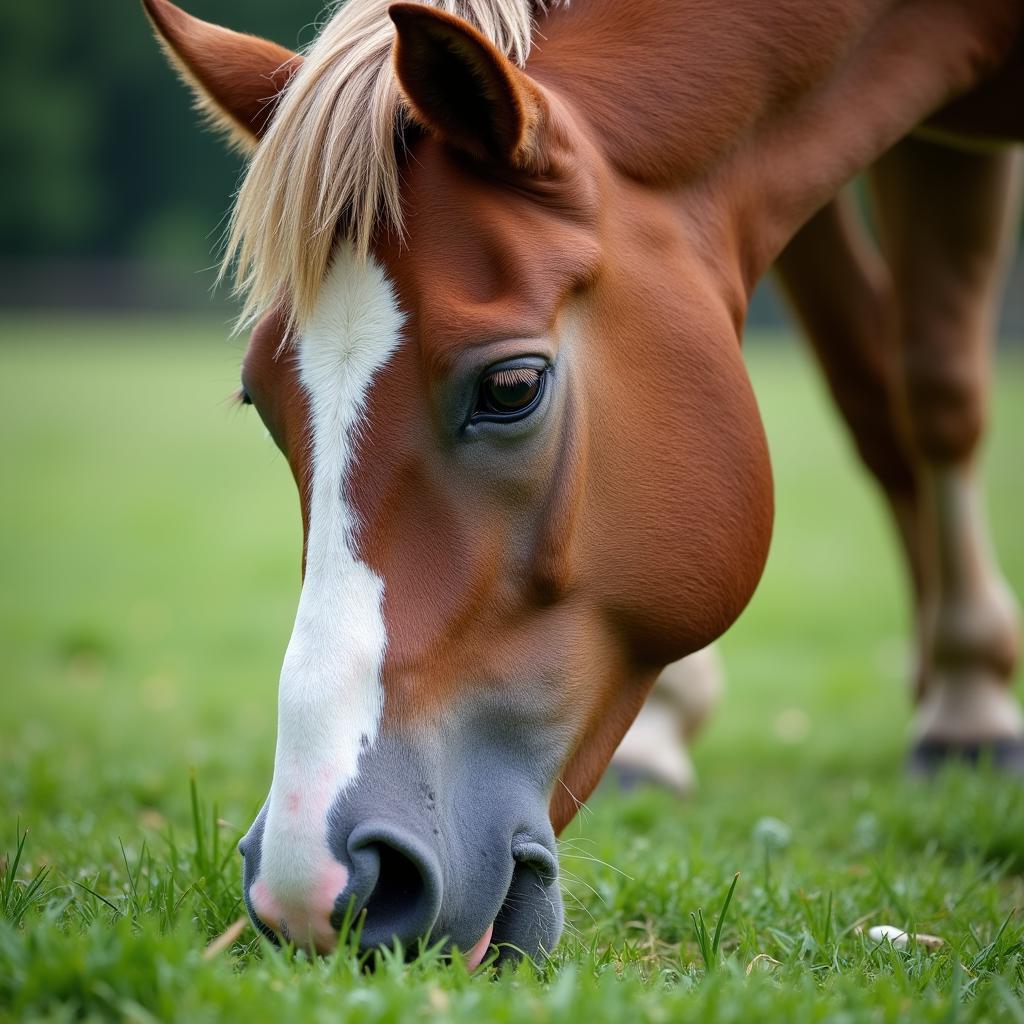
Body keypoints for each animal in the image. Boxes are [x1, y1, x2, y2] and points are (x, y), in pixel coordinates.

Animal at [144, 0, 1024, 962]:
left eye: (511, 387)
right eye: (261, 402)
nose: (315, 883)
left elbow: (936, 387)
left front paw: (973, 708)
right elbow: (873, 389)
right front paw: (668, 727)